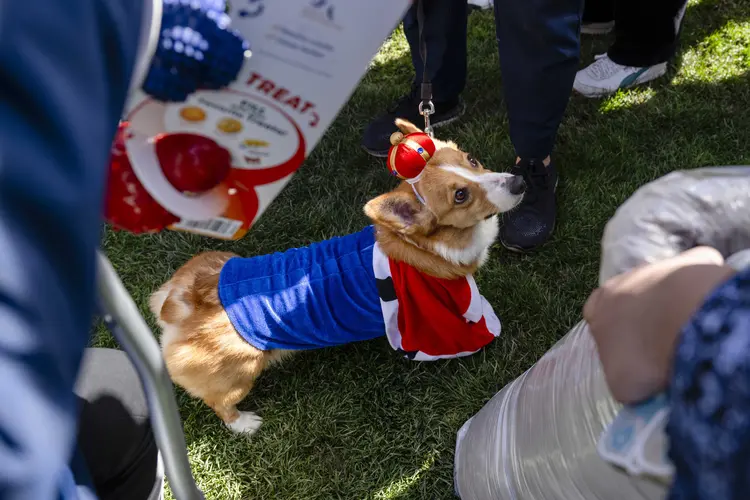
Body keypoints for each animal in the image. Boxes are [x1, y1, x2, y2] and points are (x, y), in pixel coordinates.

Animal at [151, 120, 528, 434]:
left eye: (472, 160)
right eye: (460, 195)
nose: (520, 181)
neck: (428, 245)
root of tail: (182, 302)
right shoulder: (439, 317)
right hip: (241, 375)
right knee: (219, 402)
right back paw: (244, 423)